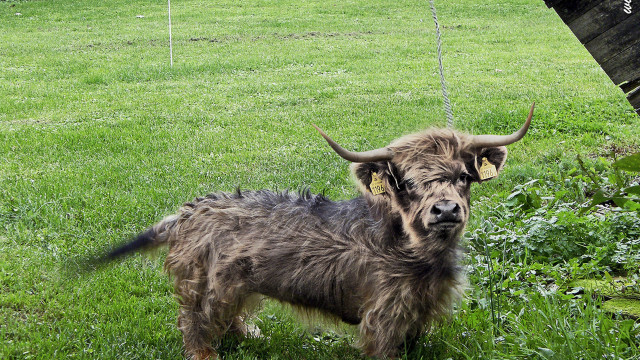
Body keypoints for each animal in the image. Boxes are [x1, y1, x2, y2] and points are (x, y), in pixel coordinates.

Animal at [105, 102, 536, 358]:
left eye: (464, 176)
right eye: (408, 182)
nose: (445, 209)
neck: (416, 252)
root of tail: (189, 211)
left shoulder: (419, 312)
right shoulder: (383, 317)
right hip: (205, 285)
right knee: (194, 324)